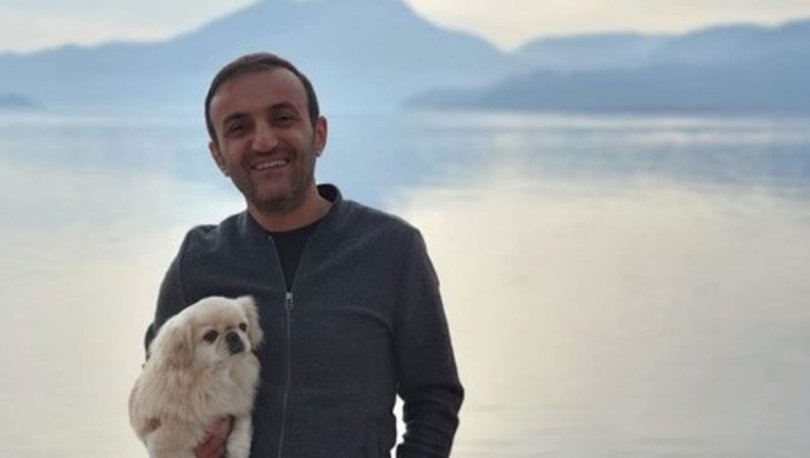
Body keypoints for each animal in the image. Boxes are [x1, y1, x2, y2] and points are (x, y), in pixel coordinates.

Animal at [129, 295, 263, 458]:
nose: (233, 335)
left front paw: (239, 449)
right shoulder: (169, 443)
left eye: (243, 326)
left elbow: (242, 422)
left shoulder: (236, 404)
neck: (215, 378)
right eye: (210, 335)